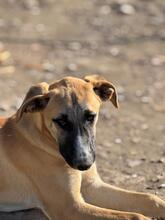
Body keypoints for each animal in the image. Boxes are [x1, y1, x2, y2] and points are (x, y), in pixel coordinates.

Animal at [0, 75, 165, 219]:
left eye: (91, 116)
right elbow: (134, 216)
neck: (43, 138)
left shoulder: (92, 186)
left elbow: (151, 199)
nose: (84, 164)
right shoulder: (70, 207)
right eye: (61, 121)